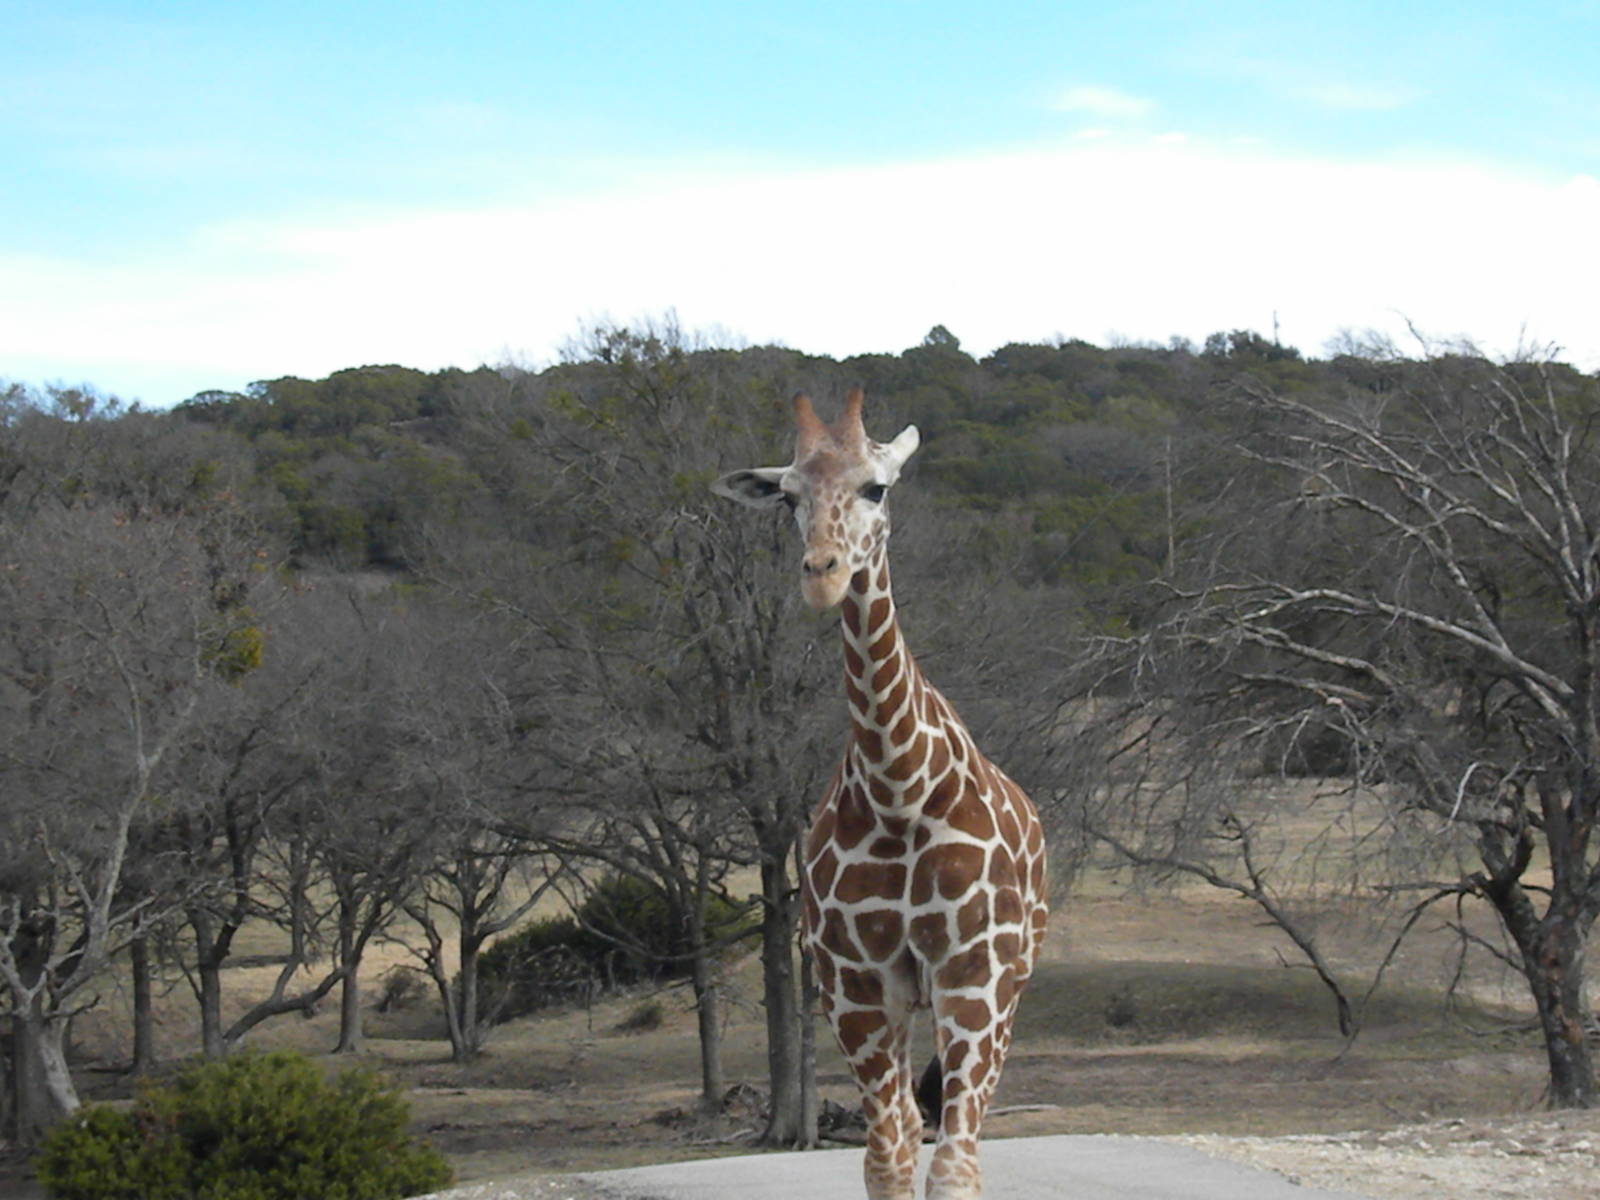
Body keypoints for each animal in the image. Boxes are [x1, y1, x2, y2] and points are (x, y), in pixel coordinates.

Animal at [713, 387, 1049, 1200]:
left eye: (877, 487)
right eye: (788, 497)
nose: (822, 574)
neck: (901, 787)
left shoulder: (973, 975)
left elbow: (953, 1166)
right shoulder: (857, 985)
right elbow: (887, 1159)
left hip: (1010, 987)